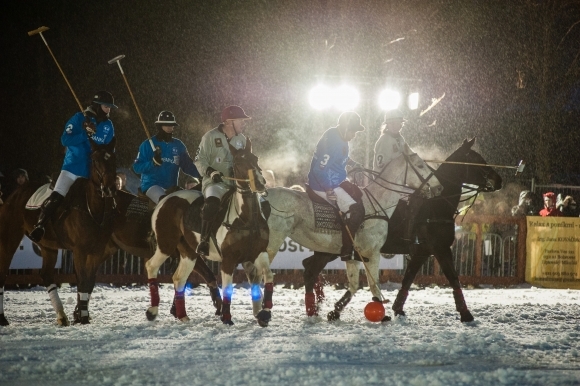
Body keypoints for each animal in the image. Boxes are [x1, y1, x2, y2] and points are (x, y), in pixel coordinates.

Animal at [0, 137, 118, 324]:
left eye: (113, 159)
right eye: (94, 160)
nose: (109, 189)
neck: (92, 207)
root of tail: (14, 194)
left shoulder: (97, 250)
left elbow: (89, 282)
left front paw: (81, 314)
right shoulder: (80, 250)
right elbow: (82, 280)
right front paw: (82, 316)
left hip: (48, 246)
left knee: (46, 275)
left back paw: (62, 316)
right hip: (8, 238)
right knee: (2, 274)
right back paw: (2, 318)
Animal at [144, 139, 274, 326]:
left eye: (255, 158)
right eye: (238, 162)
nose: (260, 182)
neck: (246, 218)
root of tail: (165, 199)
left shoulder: (258, 253)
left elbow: (268, 276)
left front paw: (265, 312)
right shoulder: (228, 259)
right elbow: (227, 288)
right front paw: (226, 317)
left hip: (188, 252)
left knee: (179, 278)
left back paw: (182, 315)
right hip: (165, 243)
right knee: (151, 266)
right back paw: (152, 311)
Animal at [266, 150, 442, 320]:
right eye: (420, 165)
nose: (439, 187)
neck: (377, 203)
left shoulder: (354, 255)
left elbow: (355, 284)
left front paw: (335, 311)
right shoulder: (373, 252)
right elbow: (373, 284)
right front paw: (382, 313)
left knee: (308, 270)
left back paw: (312, 311)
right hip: (274, 239)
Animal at [304, 139, 502, 322]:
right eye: (477, 160)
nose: (499, 180)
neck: (435, 206)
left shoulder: (422, 252)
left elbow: (408, 279)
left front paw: (398, 308)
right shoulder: (441, 248)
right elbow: (453, 278)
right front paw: (466, 314)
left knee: (309, 266)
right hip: (331, 249)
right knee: (311, 268)